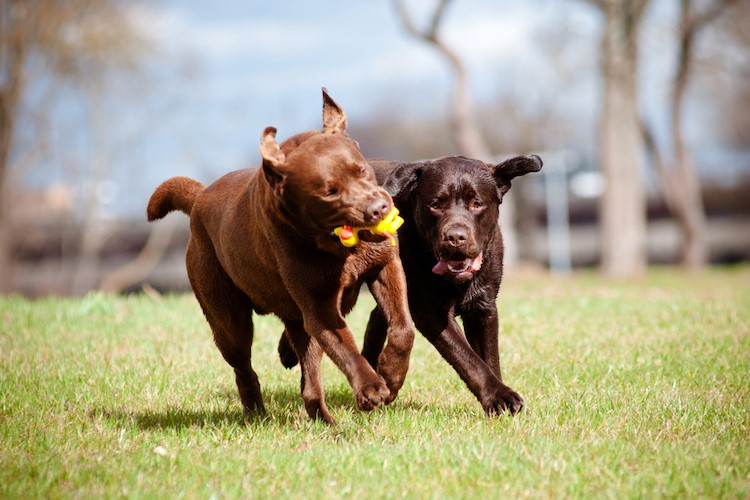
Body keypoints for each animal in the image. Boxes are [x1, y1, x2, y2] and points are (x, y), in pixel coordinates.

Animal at [145, 90, 418, 422]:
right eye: (329, 191)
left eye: (361, 170)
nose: (378, 209)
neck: (338, 245)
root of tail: (200, 197)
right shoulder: (319, 306)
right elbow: (345, 346)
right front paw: (370, 387)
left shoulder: (384, 265)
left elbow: (403, 327)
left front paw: (391, 375)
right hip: (227, 318)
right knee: (245, 367)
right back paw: (256, 412)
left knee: (308, 378)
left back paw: (319, 412)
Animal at [362, 155, 544, 414]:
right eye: (435, 204)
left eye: (477, 203)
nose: (455, 237)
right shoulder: (430, 313)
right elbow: (467, 359)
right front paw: (500, 396)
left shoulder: (483, 307)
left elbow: (489, 358)